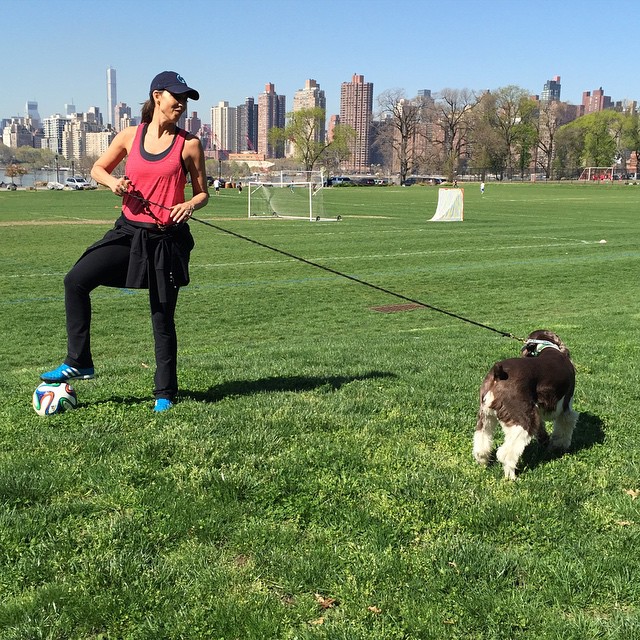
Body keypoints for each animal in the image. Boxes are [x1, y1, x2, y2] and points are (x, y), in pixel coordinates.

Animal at [470, 332, 580, 478]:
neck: (547, 347)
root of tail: (498, 374)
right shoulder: (566, 408)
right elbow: (564, 429)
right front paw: (559, 447)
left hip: (486, 415)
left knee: (481, 443)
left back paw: (483, 464)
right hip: (524, 419)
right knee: (506, 453)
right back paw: (511, 477)